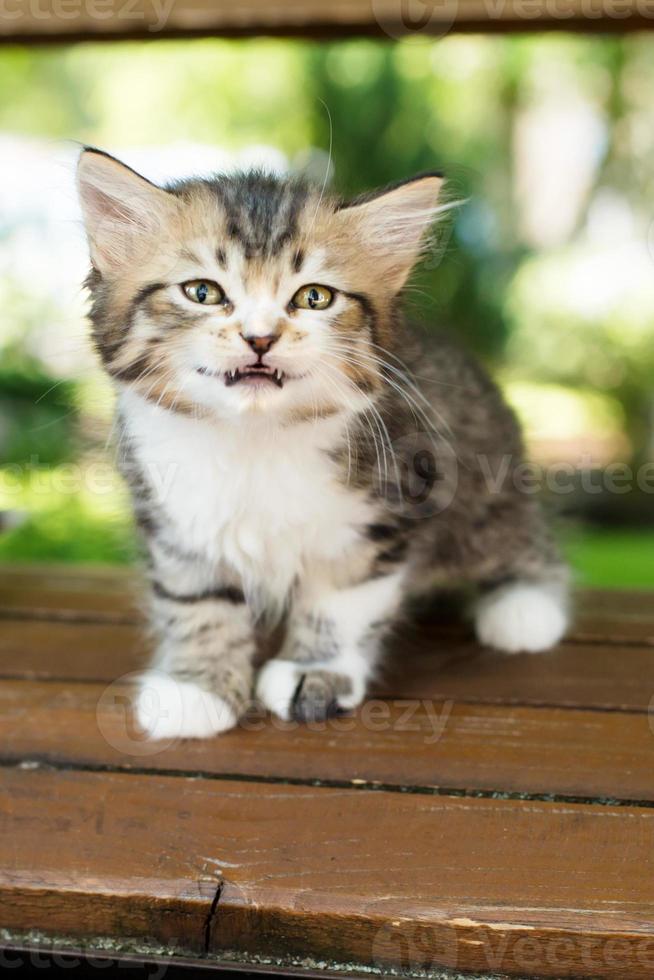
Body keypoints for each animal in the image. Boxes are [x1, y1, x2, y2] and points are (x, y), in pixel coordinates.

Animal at [75, 149, 568, 740]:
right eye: (202, 292)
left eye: (314, 297)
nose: (260, 337)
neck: (254, 440)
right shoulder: (175, 520)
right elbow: (196, 600)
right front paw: (199, 687)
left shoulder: (382, 511)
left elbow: (339, 600)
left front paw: (314, 672)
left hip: (485, 479)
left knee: (517, 536)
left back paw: (526, 607)